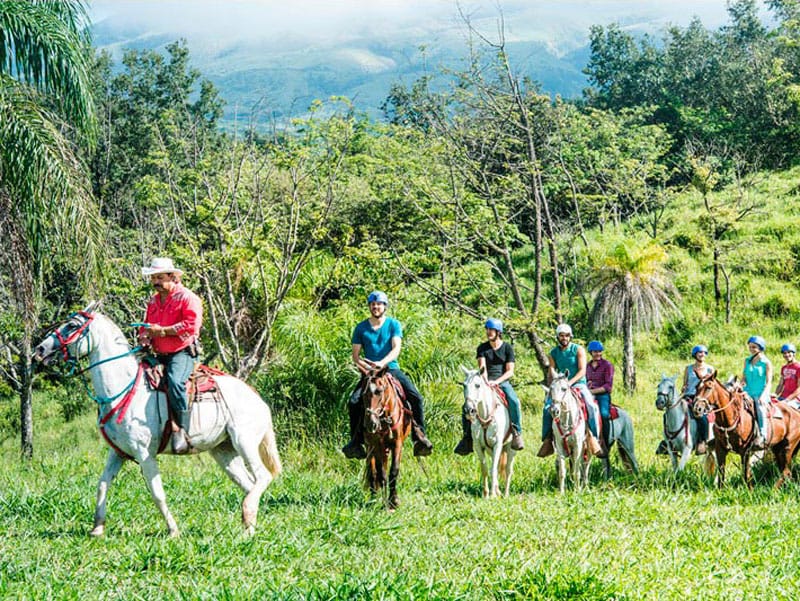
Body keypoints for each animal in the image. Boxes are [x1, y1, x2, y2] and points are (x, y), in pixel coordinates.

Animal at [32, 302, 282, 536]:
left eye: (72, 326)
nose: (39, 349)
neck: (124, 388)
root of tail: (259, 401)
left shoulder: (145, 454)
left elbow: (157, 493)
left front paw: (173, 530)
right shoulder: (117, 452)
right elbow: (102, 484)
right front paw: (97, 528)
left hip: (244, 441)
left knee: (263, 476)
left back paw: (247, 517)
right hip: (224, 451)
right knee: (249, 484)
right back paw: (249, 527)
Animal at [362, 364, 412, 508]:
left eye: (379, 391)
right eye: (363, 394)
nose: (371, 424)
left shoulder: (397, 443)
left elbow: (394, 471)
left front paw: (394, 501)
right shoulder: (377, 445)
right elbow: (381, 474)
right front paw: (384, 502)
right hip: (370, 447)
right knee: (372, 472)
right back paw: (373, 499)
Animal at [460, 366, 516, 496]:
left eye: (477, 385)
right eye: (464, 385)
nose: (468, 410)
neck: (485, 416)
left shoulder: (497, 444)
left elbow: (493, 470)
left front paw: (492, 495)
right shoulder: (478, 446)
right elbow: (485, 469)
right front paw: (486, 494)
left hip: (510, 448)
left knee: (508, 470)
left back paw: (505, 494)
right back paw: (498, 490)